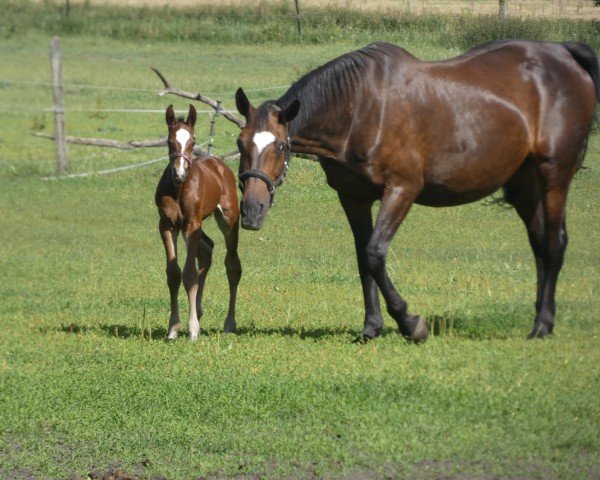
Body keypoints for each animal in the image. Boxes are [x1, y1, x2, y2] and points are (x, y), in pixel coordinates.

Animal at [156, 104, 243, 342]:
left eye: (193, 142)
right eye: (169, 141)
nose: (179, 173)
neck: (178, 189)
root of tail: (218, 163)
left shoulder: (191, 224)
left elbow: (190, 274)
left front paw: (193, 329)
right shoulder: (167, 225)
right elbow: (174, 273)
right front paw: (173, 328)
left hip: (228, 220)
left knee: (233, 265)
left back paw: (229, 323)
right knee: (207, 250)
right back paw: (199, 309)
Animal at [234, 40, 600, 342]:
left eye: (281, 146)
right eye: (240, 143)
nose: (251, 212)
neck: (361, 108)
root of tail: (564, 55)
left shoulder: (402, 189)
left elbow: (375, 253)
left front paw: (411, 324)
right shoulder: (353, 197)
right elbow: (362, 259)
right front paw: (371, 328)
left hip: (554, 176)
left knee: (553, 243)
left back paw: (542, 325)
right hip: (524, 185)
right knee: (540, 244)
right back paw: (542, 318)